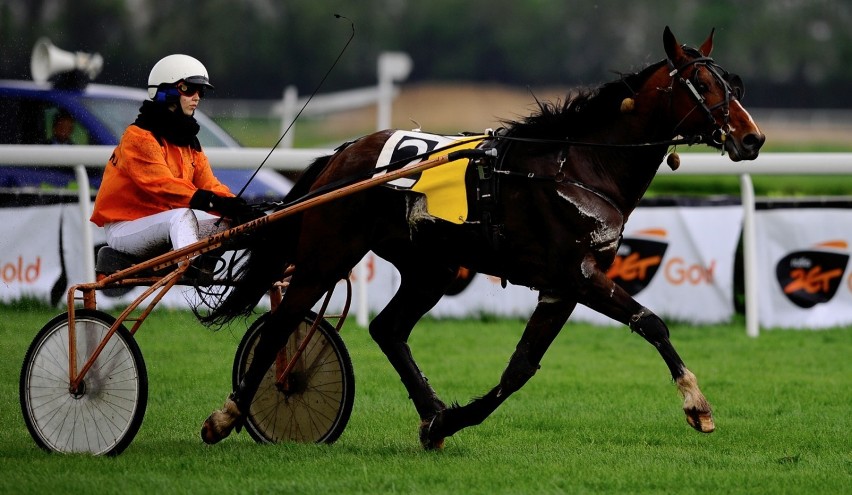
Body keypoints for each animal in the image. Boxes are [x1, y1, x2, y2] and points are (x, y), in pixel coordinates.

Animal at [198, 26, 764, 450]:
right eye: (703, 84)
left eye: (733, 84)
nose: (753, 138)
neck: (579, 165)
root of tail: (341, 155)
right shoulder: (578, 274)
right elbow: (651, 322)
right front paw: (697, 404)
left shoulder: (561, 286)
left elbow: (520, 369)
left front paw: (447, 419)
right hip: (328, 252)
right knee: (283, 323)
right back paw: (227, 415)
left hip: (432, 266)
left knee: (387, 328)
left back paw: (429, 412)